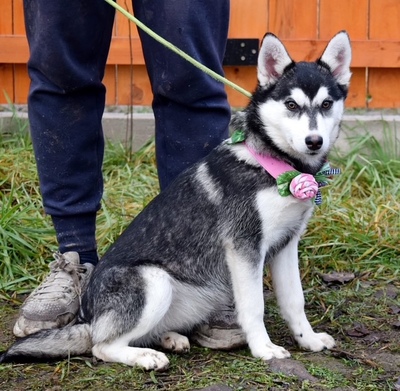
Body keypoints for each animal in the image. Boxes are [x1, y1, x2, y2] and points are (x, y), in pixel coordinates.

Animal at [0, 30, 350, 370]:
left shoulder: (286, 244)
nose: (314, 141)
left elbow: (294, 300)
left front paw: (308, 339)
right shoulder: (244, 248)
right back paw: (145, 357)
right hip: (154, 281)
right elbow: (254, 306)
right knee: (102, 346)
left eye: (326, 103)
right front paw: (263, 348)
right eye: (291, 105)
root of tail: (89, 317)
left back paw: (169, 338)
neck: (274, 165)